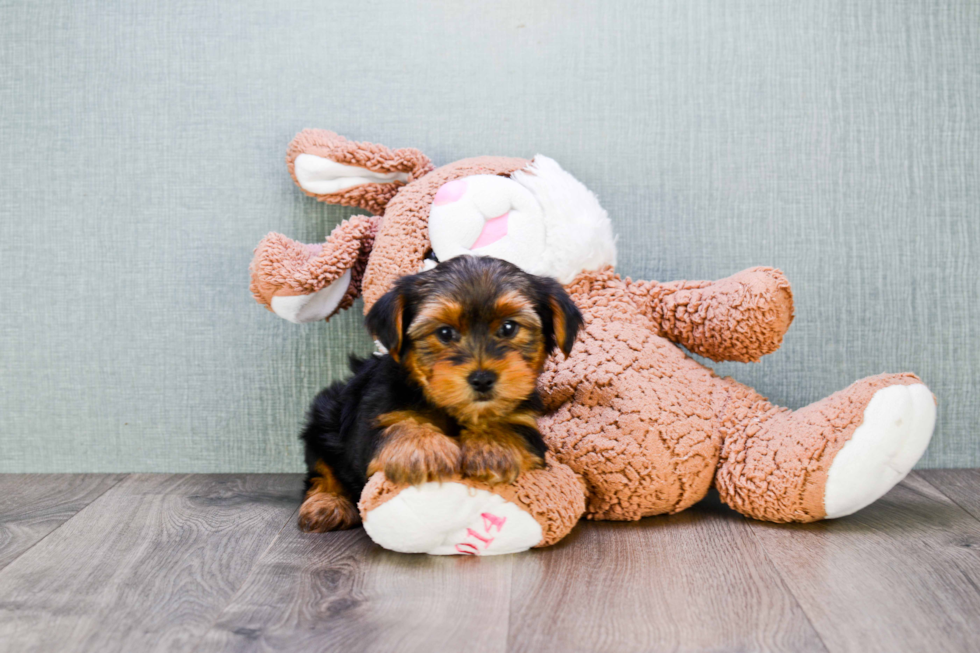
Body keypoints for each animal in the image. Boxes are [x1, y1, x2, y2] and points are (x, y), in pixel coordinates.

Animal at [294, 253, 580, 528]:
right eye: (445, 333)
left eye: (509, 327)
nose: (482, 379)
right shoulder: (371, 421)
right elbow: (393, 427)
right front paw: (424, 448)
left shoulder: (526, 421)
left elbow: (516, 430)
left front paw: (495, 446)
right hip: (324, 417)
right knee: (321, 472)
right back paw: (327, 504)